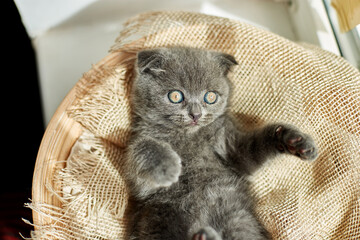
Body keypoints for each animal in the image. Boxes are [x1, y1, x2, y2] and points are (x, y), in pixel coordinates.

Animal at [124, 47, 318, 240]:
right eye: (175, 96)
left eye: (210, 96)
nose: (196, 115)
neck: (190, 136)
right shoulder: (142, 170)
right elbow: (144, 147)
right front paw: (167, 167)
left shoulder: (234, 149)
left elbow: (256, 145)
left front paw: (293, 140)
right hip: (156, 222)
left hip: (238, 217)